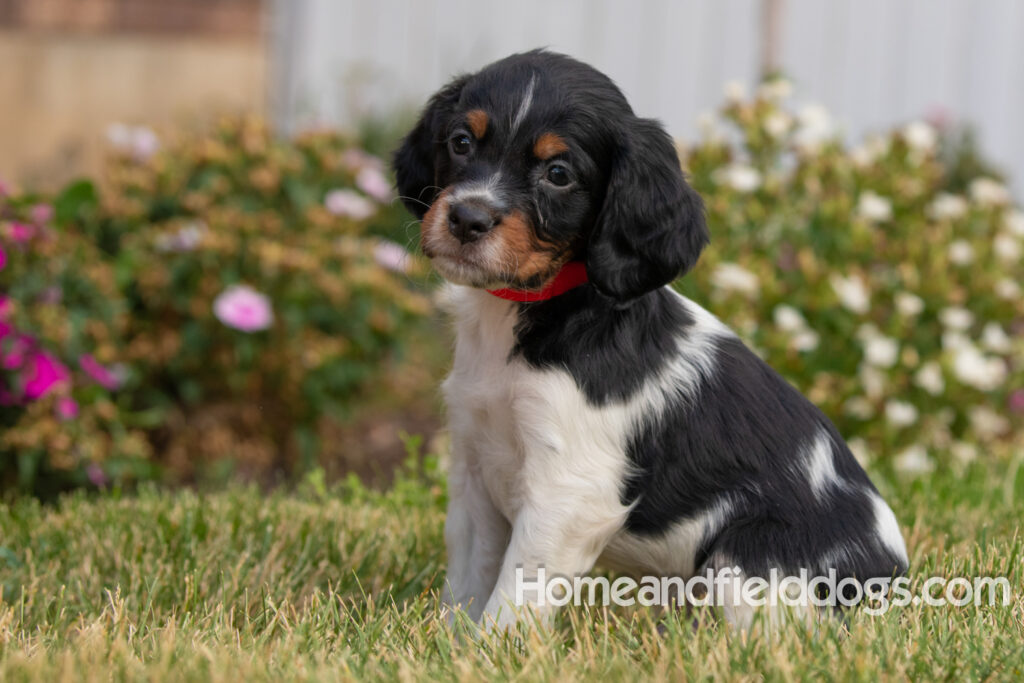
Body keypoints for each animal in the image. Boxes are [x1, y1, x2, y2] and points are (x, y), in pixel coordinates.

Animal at [393, 50, 913, 634]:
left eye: (558, 174)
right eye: (461, 142)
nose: (466, 218)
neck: (531, 316)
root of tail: (891, 578)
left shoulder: (568, 490)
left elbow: (517, 589)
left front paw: (492, 645)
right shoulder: (475, 466)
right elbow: (469, 572)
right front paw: (449, 639)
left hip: (750, 556)